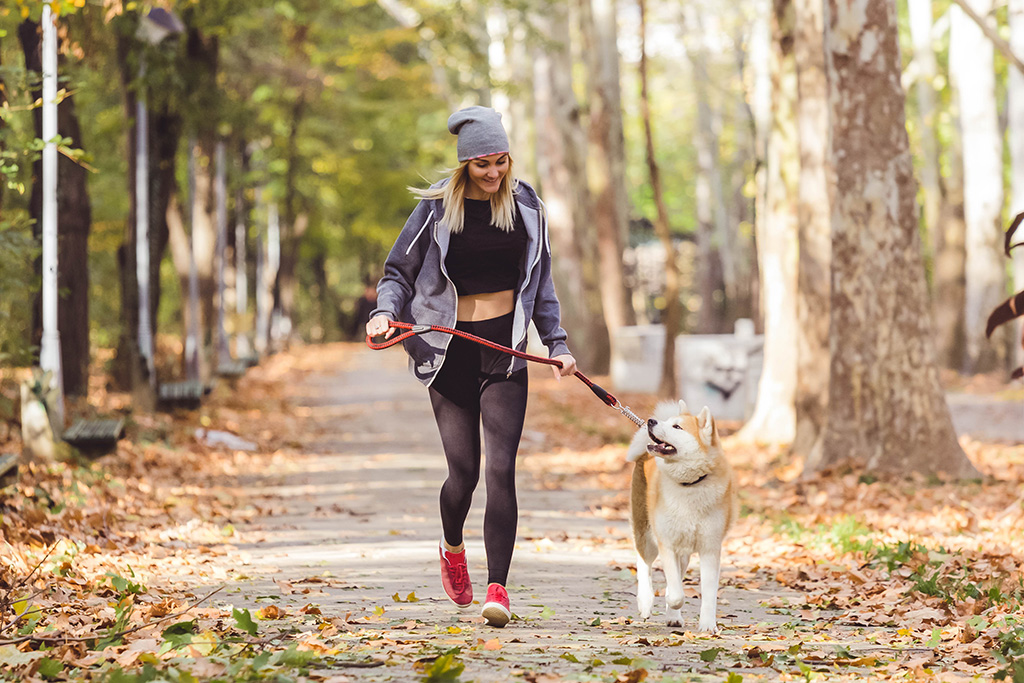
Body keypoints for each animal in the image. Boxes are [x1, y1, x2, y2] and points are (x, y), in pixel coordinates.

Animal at [622, 397, 737, 634]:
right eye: (669, 422)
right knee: (643, 562)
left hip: (684, 550)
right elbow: (675, 594)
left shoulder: (710, 548)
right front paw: (669, 601)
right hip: (646, 533)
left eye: (677, 427)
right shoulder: (667, 544)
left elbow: (708, 594)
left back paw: (673, 617)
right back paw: (645, 601)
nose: (651, 421)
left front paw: (707, 625)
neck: (690, 485)